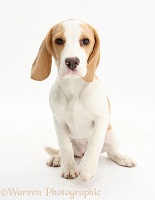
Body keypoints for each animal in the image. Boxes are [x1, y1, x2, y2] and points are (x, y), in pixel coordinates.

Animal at [30, 19, 136, 182]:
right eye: (58, 40)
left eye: (85, 41)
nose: (72, 61)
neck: (73, 87)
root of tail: (81, 152)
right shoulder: (58, 121)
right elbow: (65, 146)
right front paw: (68, 168)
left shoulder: (101, 118)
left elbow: (94, 143)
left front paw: (87, 168)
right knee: (65, 149)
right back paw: (57, 158)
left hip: (112, 136)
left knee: (110, 154)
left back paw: (122, 158)